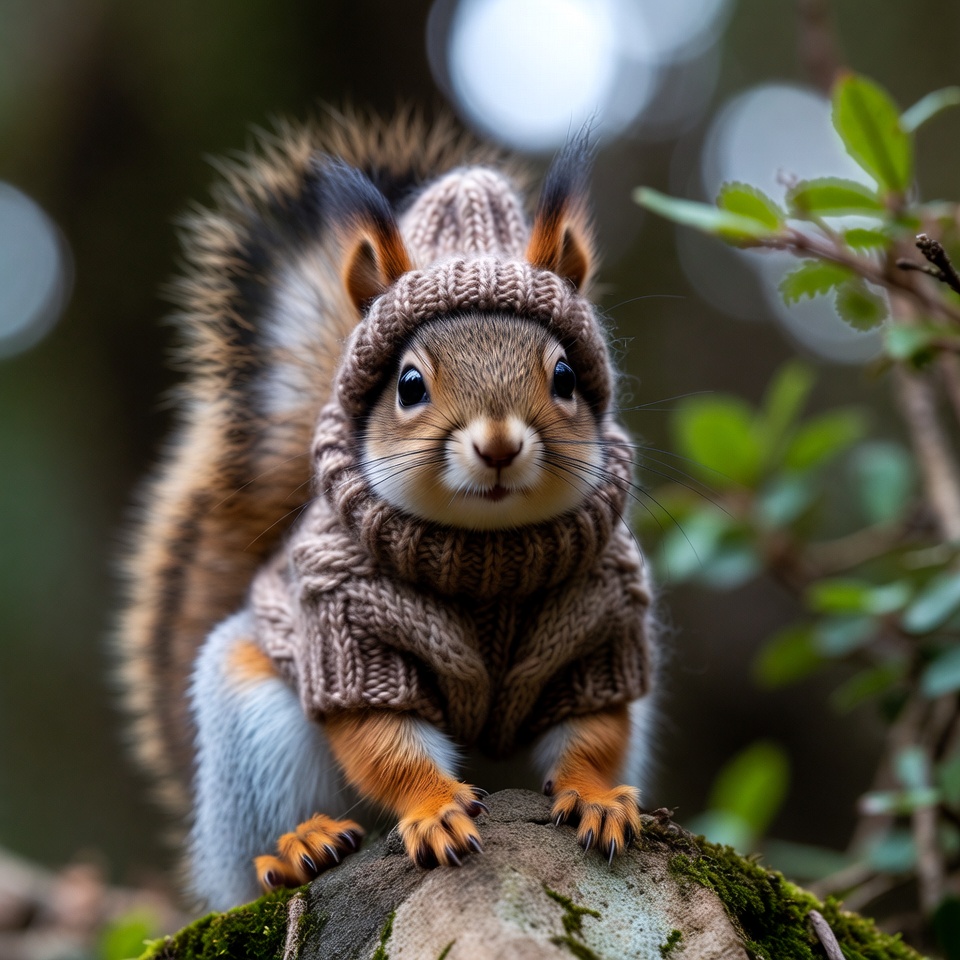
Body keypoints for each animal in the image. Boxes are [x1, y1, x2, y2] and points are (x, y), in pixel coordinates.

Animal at [116, 110, 657, 911]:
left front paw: (595, 797)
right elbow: (382, 740)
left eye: (564, 376)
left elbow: (594, 731)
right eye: (408, 385)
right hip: (251, 730)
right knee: (248, 853)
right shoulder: (347, 632)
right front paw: (433, 810)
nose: (499, 445)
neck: (487, 559)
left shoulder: (601, 627)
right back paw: (296, 848)